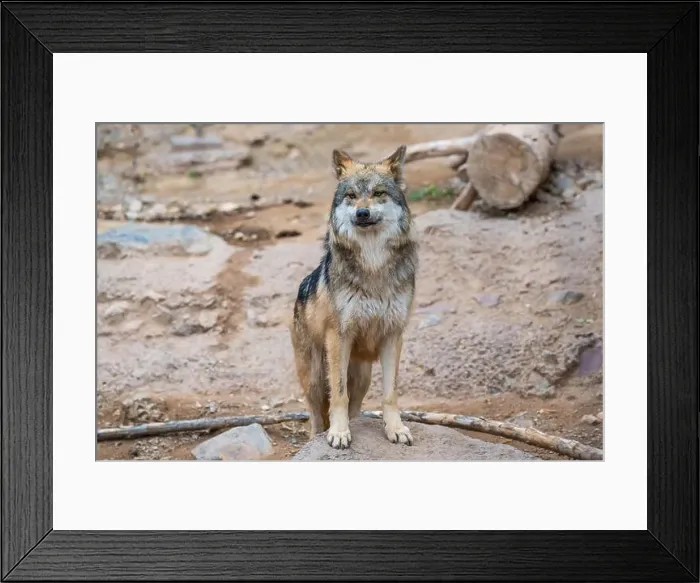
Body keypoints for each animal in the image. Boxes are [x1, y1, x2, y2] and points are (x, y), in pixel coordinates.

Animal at [289, 145, 418, 449]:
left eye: (379, 193)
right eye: (351, 195)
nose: (362, 212)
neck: (373, 265)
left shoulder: (393, 335)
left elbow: (391, 394)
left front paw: (395, 429)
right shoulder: (339, 336)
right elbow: (338, 395)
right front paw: (338, 433)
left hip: (362, 377)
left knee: (356, 407)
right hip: (314, 376)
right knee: (316, 414)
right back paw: (318, 436)